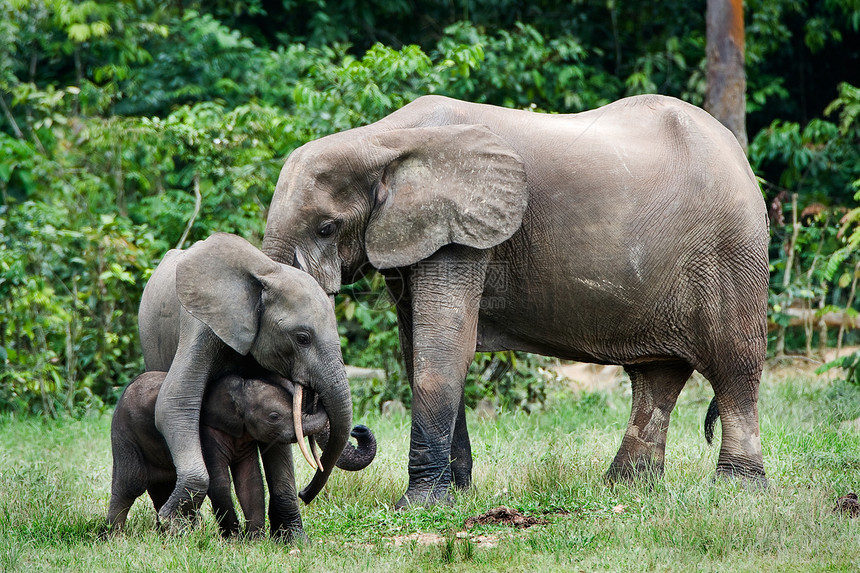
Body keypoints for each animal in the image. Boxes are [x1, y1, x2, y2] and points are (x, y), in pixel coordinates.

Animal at [107, 370, 376, 536]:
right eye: (274, 416)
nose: (358, 429)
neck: (239, 390)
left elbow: (251, 480)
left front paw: (254, 539)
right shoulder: (207, 432)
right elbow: (218, 480)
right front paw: (234, 538)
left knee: (164, 487)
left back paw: (171, 535)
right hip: (125, 433)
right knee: (130, 483)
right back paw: (114, 538)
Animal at [137, 230, 350, 540]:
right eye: (302, 338)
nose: (305, 493)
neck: (266, 273)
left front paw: (295, 540)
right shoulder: (201, 326)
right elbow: (174, 404)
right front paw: (174, 526)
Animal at [264, 94, 772, 504]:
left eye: (326, 227)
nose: (308, 494)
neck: (380, 141)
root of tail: (738, 153)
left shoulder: (462, 235)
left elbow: (441, 352)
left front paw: (419, 506)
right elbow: (419, 353)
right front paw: (458, 497)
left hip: (730, 253)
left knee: (734, 367)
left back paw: (737, 490)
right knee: (657, 376)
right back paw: (627, 488)